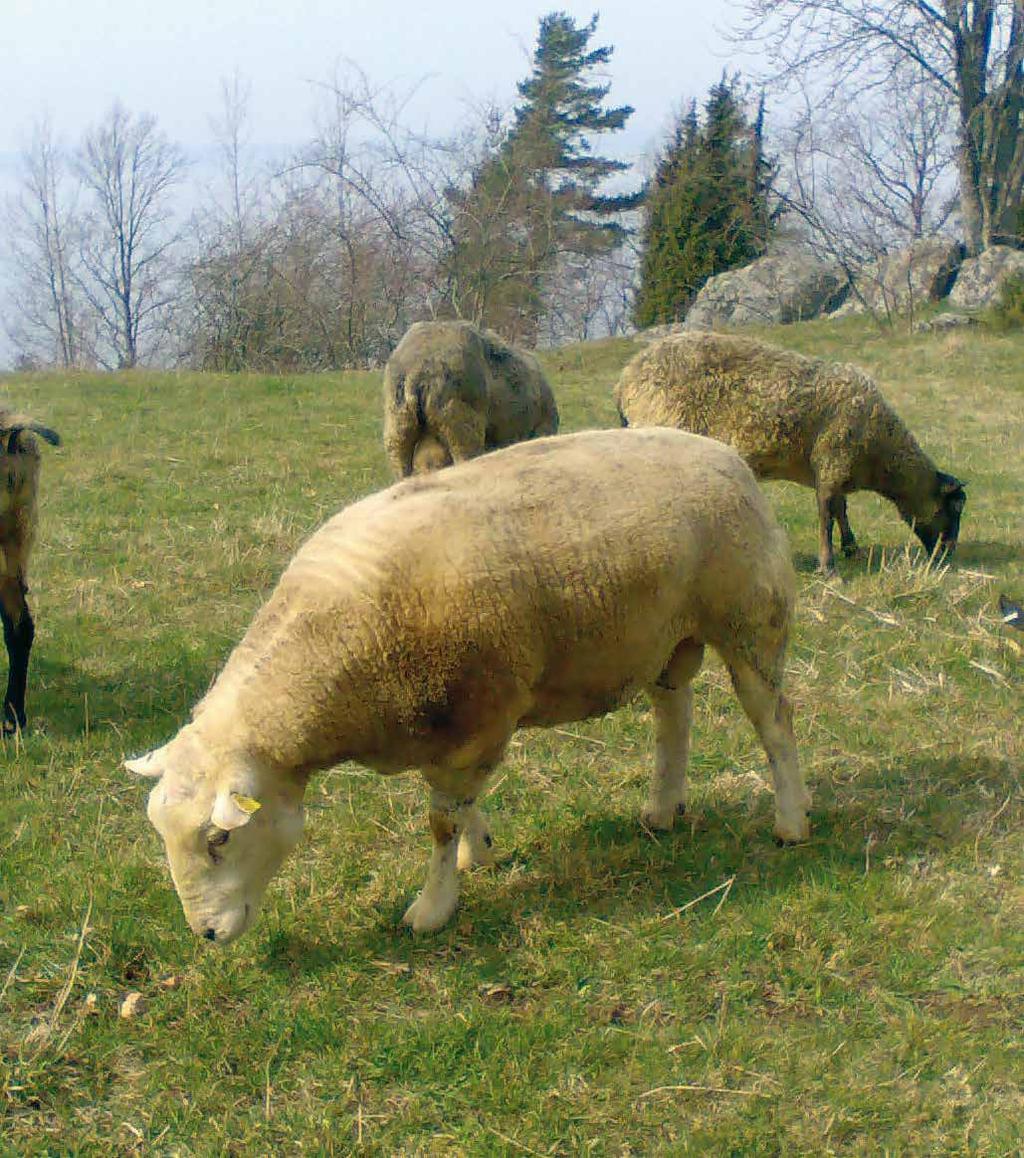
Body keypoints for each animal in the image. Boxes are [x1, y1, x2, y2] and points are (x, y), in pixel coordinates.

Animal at [616, 333, 968, 572]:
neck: (880, 456)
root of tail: (625, 378)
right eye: (953, 508)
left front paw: (851, 548)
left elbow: (841, 509)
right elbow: (826, 515)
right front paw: (828, 566)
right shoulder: (833, 458)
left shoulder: (834, 467)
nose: (948, 557)